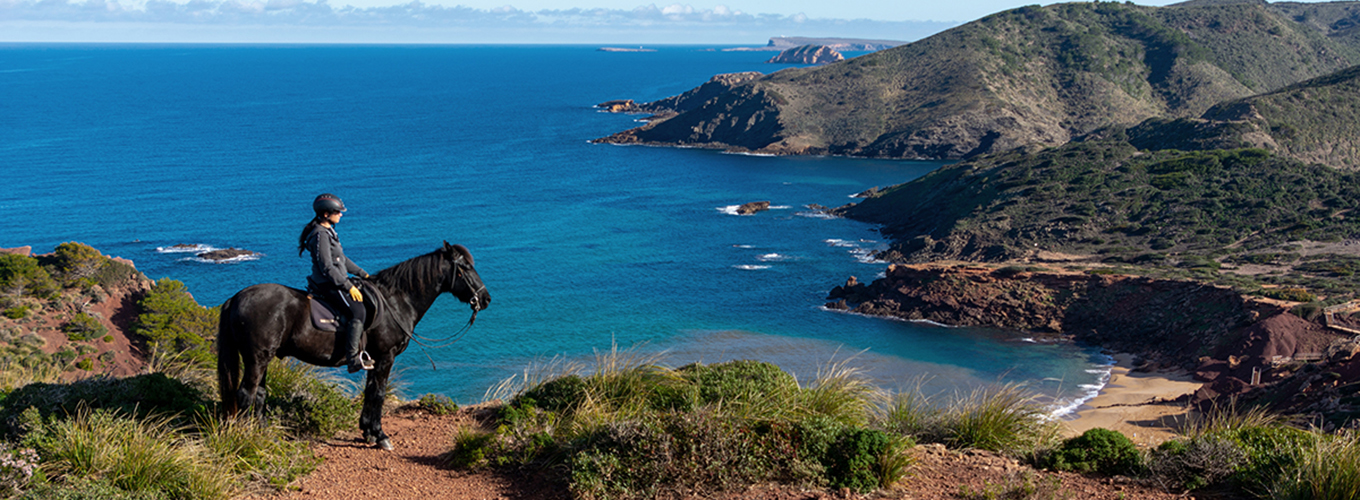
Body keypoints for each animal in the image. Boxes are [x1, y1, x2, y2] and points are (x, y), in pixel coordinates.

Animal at [212, 240, 489, 451]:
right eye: (465, 267)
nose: (485, 298)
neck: (395, 301)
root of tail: (235, 298)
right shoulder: (386, 356)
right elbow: (378, 394)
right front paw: (380, 436)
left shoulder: (374, 359)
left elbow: (369, 392)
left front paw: (367, 431)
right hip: (257, 358)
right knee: (246, 394)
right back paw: (249, 438)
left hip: (263, 358)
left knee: (258, 393)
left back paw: (266, 435)